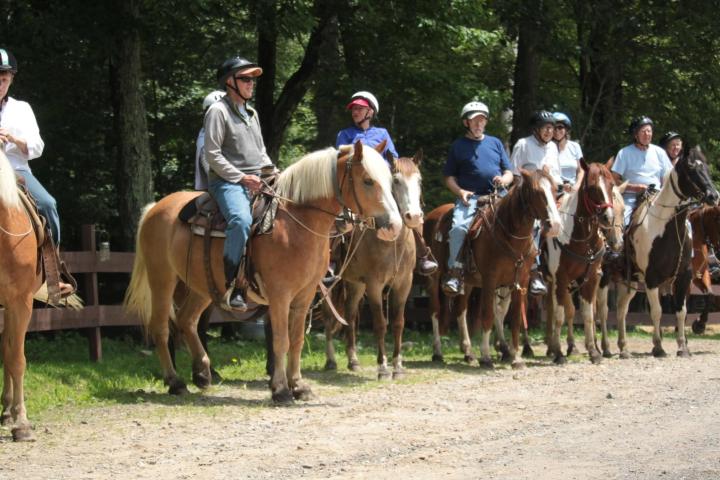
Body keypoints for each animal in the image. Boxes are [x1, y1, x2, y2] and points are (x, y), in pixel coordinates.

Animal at [124, 141, 402, 403]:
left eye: (390, 181)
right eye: (368, 180)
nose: (394, 226)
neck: (295, 224)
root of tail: (156, 207)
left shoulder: (304, 296)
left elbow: (297, 340)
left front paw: (299, 386)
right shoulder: (279, 296)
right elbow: (281, 340)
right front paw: (280, 390)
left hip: (203, 286)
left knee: (186, 320)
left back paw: (202, 373)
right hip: (162, 279)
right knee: (161, 327)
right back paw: (175, 382)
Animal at [323, 152, 423, 379]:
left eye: (419, 181)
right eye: (396, 181)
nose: (414, 216)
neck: (391, 242)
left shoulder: (404, 284)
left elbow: (398, 323)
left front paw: (398, 366)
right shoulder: (375, 285)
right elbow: (380, 324)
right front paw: (383, 367)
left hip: (356, 285)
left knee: (350, 316)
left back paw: (353, 360)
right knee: (328, 318)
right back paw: (331, 360)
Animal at [425, 169, 562, 369]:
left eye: (553, 190)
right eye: (537, 192)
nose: (556, 225)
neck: (508, 234)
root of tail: (432, 215)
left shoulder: (520, 281)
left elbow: (514, 318)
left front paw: (515, 357)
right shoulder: (490, 279)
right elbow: (488, 315)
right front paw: (486, 357)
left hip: (467, 282)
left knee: (460, 310)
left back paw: (468, 352)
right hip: (434, 278)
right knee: (435, 311)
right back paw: (437, 352)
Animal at [543, 160, 624, 364]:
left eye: (611, 184)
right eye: (593, 187)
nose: (608, 218)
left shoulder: (592, 278)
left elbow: (589, 315)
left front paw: (594, 351)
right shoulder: (561, 278)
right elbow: (560, 315)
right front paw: (559, 353)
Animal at [597, 146, 719, 358]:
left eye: (706, 166)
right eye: (691, 169)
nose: (713, 195)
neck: (665, 228)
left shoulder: (684, 276)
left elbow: (681, 310)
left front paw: (683, 347)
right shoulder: (652, 278)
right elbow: (657, 311)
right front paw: (658, 347)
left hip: (629, 281)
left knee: (621, 309)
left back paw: (624, 348)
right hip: (605, 276)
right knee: (603, 310)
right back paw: (606, 348)